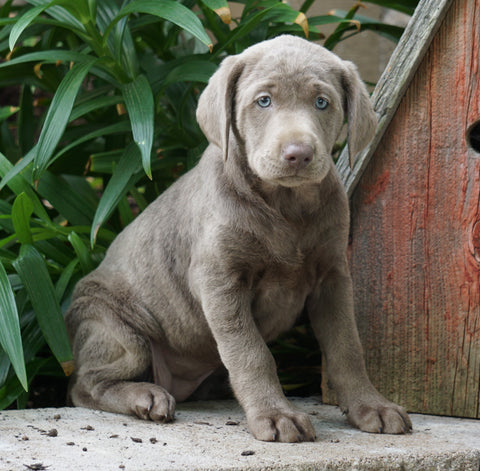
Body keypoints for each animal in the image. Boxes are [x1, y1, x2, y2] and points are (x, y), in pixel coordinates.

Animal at [65, 36, 412, 442]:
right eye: (263, 101)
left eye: (322, 102)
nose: (298, 154)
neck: (286, 205)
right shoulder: (220, 279)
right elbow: (251, 352)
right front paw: (276, 415)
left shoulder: (332, 277)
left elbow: (347, 347)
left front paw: (371, 406)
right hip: (114, 326)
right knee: (84, 385)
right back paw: (145, 396)